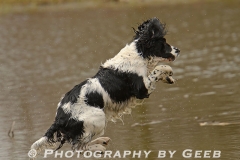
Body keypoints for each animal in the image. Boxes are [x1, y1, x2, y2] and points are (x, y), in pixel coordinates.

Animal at [30, 17, 180, 156]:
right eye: (164, 43)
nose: (178, 50)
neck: (138, 54)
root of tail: (59, 118)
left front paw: (168, 78)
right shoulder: (142, 89)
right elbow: (159, 68)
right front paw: (167, 71)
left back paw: (102, 141)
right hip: (98, 117)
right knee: (78, 147)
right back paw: (100, 146)